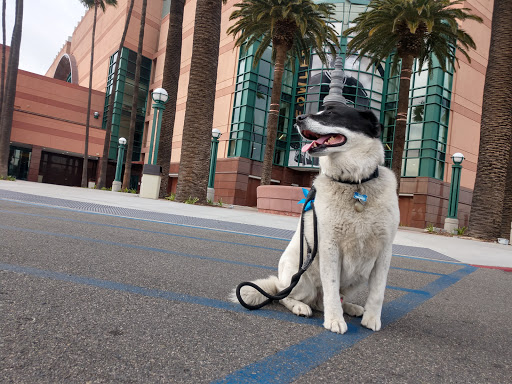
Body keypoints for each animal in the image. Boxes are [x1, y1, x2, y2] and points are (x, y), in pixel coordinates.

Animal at [232, 104, 400, 332]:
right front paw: (335, 320)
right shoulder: (330, 247)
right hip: (302, 278)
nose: (298, 118)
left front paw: (372, 318)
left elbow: (378, 292)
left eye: (331, 113)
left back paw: (350, 307)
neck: (354, 183)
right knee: (285, 296)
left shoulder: (384, 250)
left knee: (324, 300)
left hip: (358, 276)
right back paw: (300, 307)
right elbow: (331, 289)